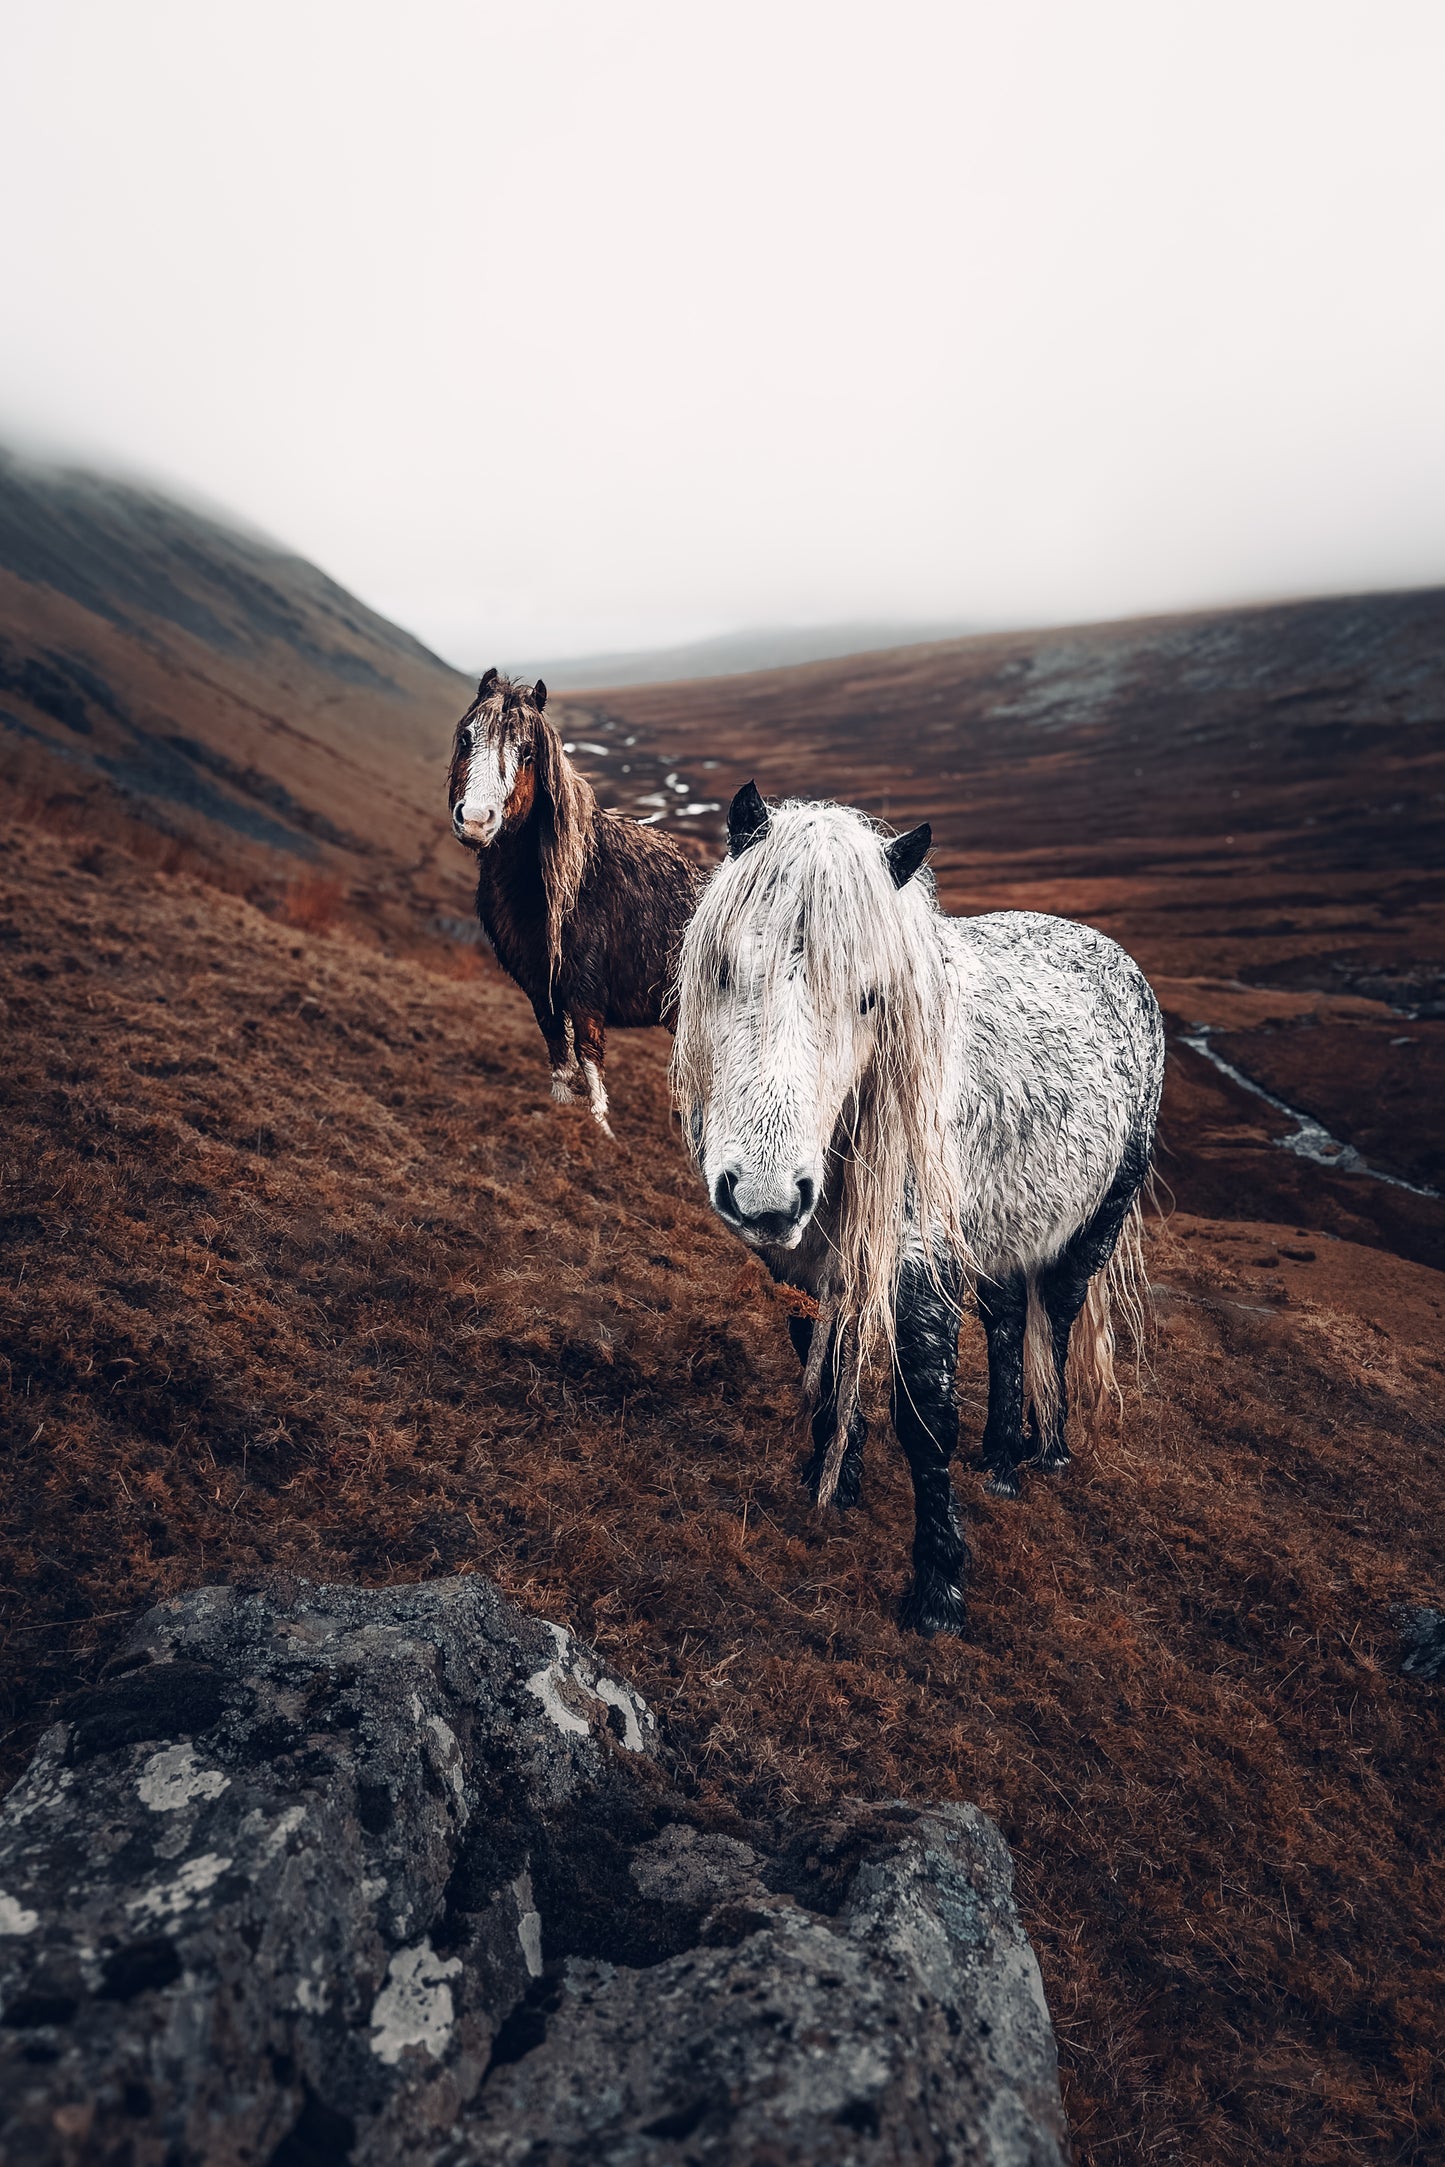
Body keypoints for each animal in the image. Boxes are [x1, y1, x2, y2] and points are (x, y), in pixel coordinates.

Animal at [449, 670, 702, 1135]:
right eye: (466, 737)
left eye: (527, 752)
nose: (475, 821)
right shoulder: (539, 988)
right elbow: (560, 1059)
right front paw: (561, 1109)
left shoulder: (586, 992)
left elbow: (589, 1063)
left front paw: (602, 1133)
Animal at [671, 783, 1164, 1636]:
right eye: (727, 968)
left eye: (871, 997)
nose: (764, 1195)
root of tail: (1113, 955)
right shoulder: (803, 1258)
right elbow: (821, 1359)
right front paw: (830, 1475)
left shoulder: (917, 1262)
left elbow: (925, 1414)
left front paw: (938, 1588)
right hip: (1001, 1230)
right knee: (1006, 1323)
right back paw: (1000, 1457)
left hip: (1095, 1220)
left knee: (1054, 1320)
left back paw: (1046, 1448)